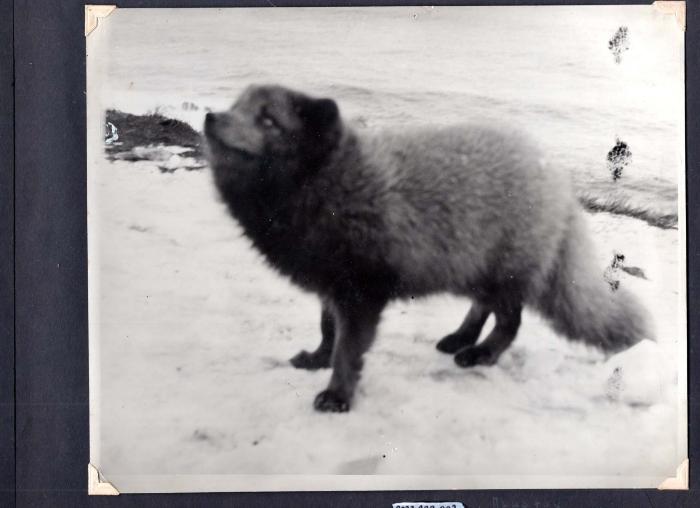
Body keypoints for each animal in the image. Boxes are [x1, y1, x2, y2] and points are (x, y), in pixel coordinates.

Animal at [203, 84, 650, 413]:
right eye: (237, 105)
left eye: (267, 119)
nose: (210, 117)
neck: (330, 181)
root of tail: (558, 179)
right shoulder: (331, 284)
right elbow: (328, 330)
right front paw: (317, 359)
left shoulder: (361, 291)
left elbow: (348, 350)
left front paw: (337, 396)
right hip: (473, 263)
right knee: (483, 307)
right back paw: (459, 338)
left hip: (507, 270)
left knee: (509, 322)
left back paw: (480, 355)